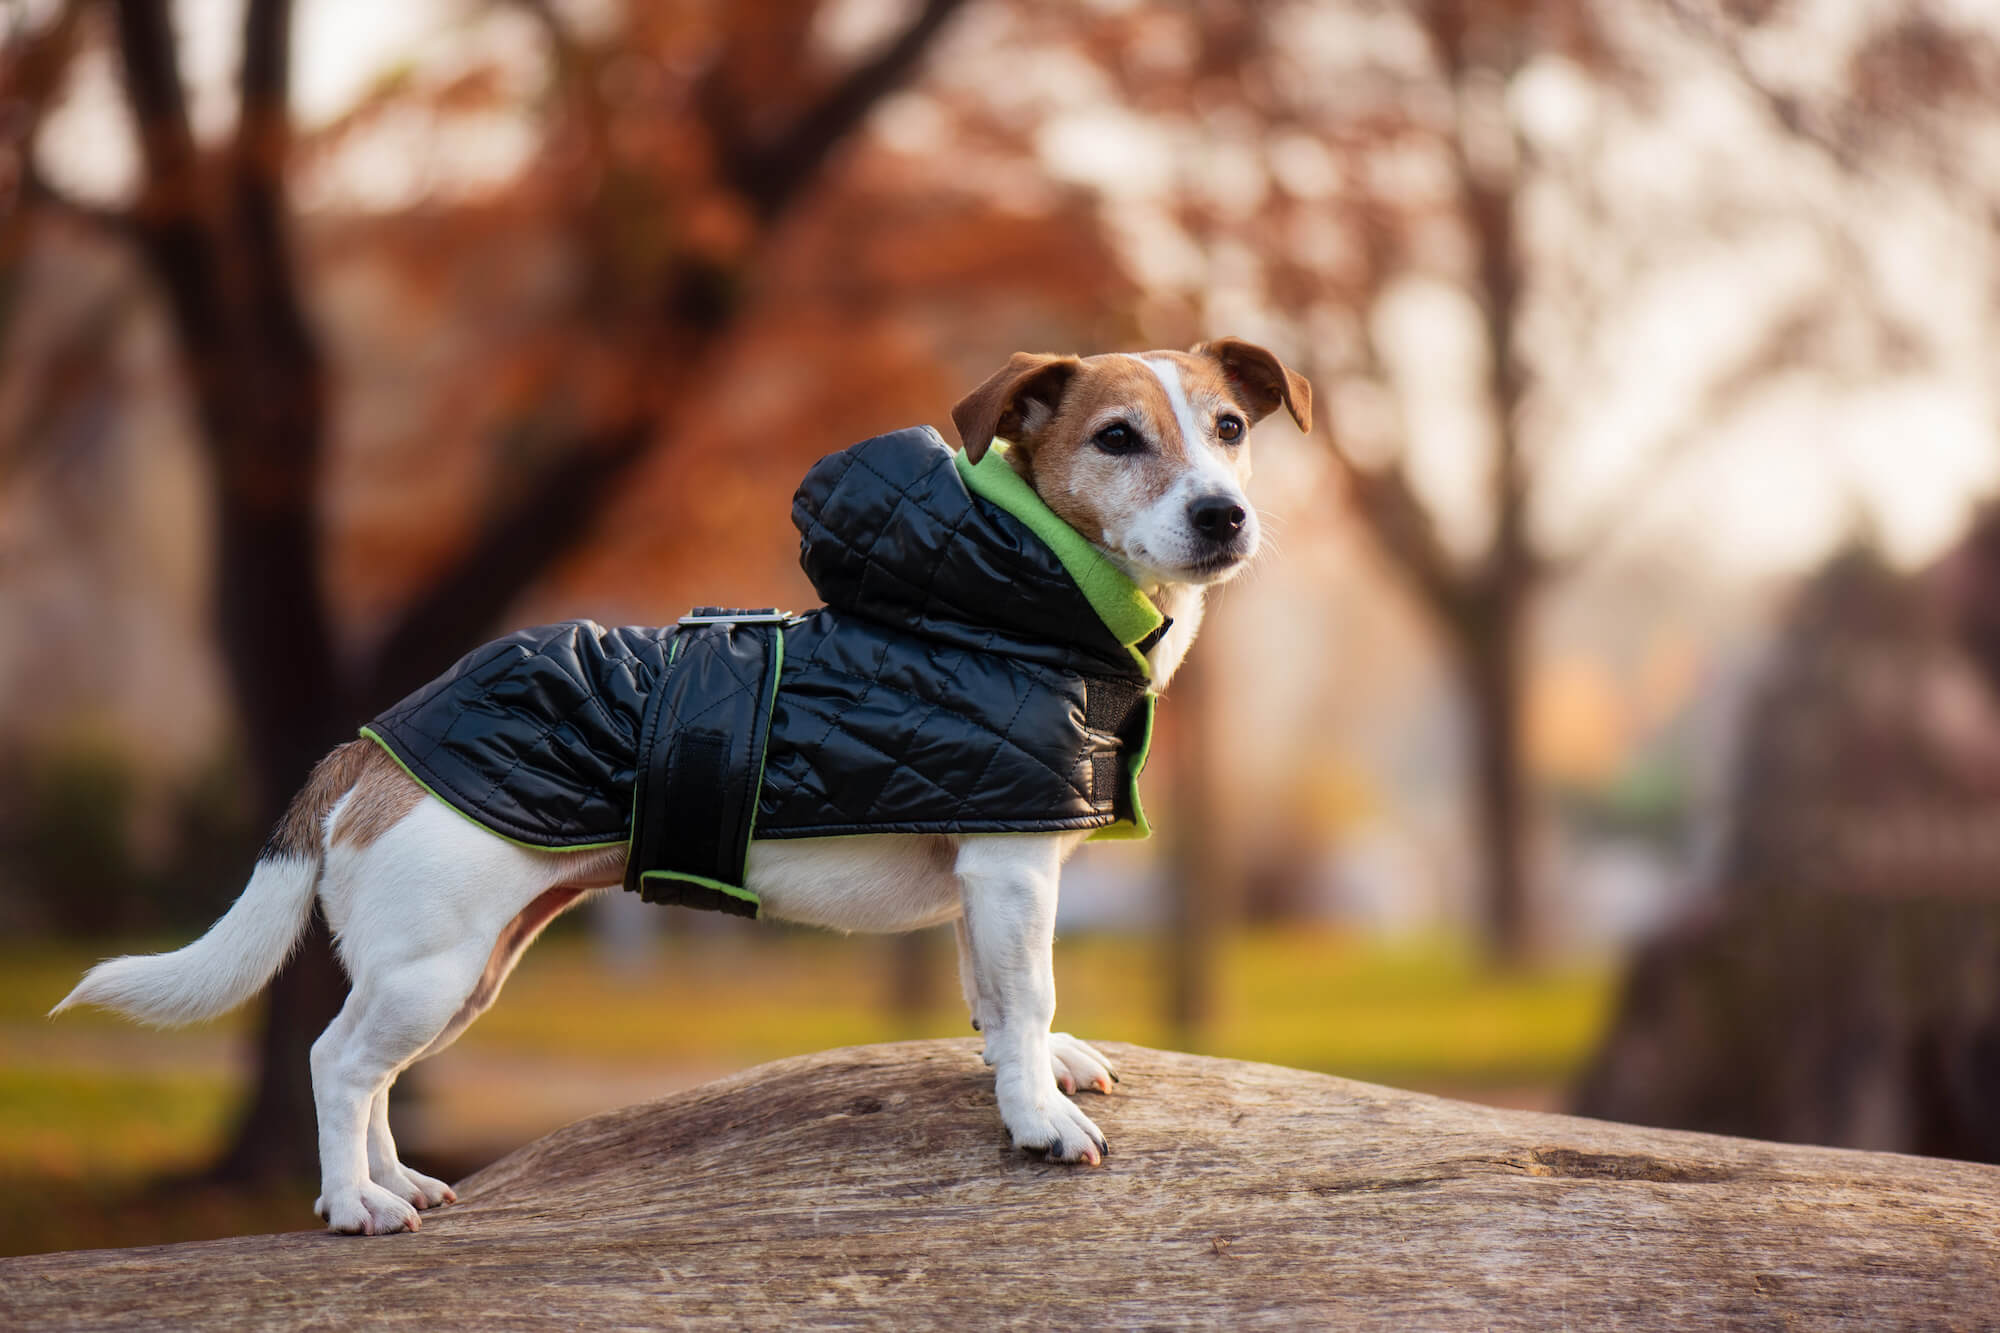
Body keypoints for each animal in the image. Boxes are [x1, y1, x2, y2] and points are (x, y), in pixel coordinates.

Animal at [50, 338, 1312, 1232]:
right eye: (1116, 437)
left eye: (1227, 428)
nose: (1223, 514)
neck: (999, 597)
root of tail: (365, 743)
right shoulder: (1009, 871)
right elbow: (1024, 993)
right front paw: (1035, 1120)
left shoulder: (985, 870)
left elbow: (997, 1003)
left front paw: (1034, 1074)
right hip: (432, 966)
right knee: (333, 1061)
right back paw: (352, 1203)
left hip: (463, 971)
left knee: (371, 1076)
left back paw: (394, 1181)